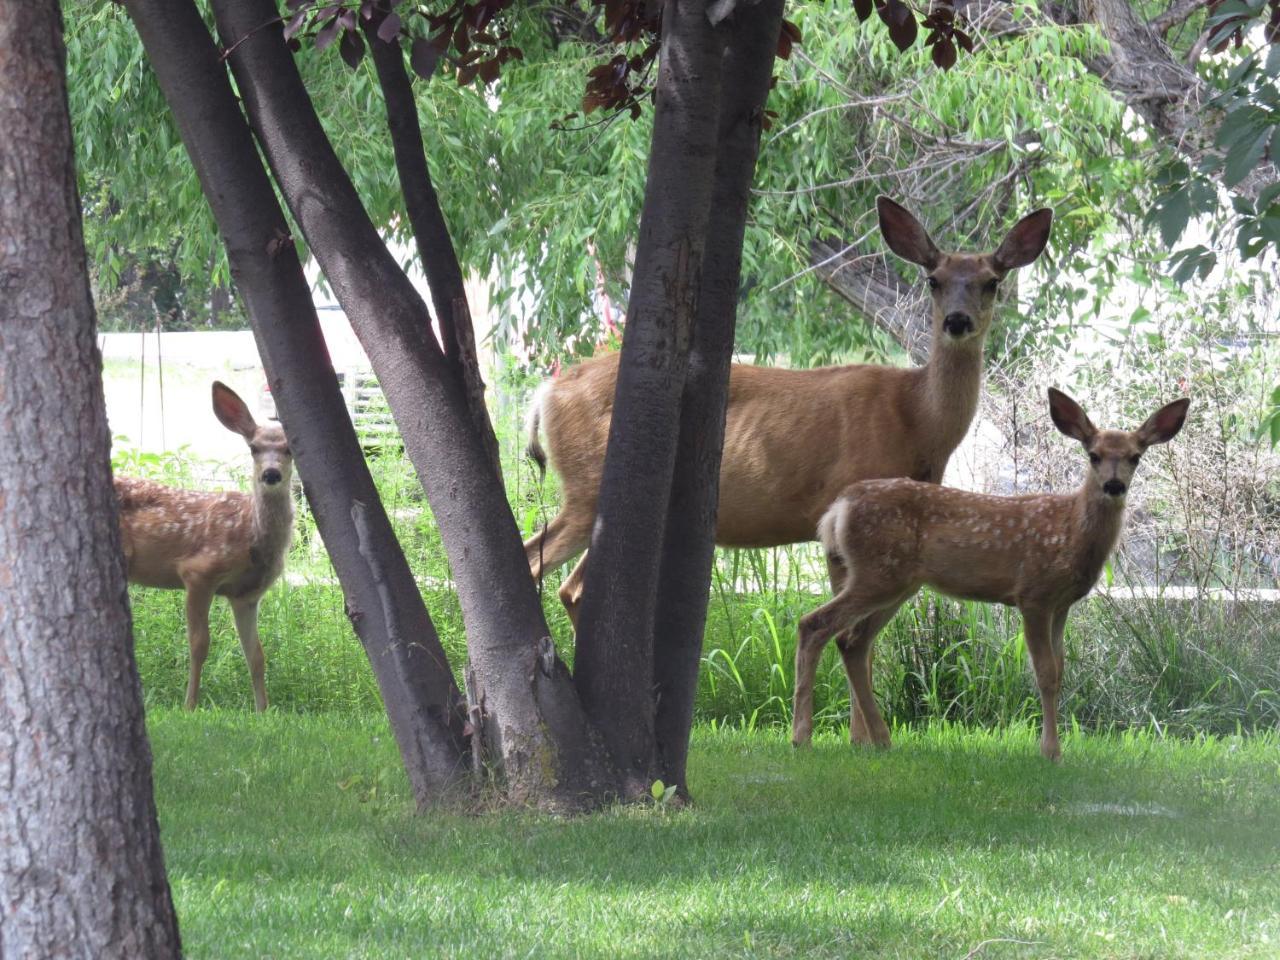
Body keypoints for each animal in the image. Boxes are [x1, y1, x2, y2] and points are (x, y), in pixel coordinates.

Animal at [114, 384, 294, 716]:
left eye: (290, 449)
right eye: (253, 448)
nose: (271, 474)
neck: (252, 535)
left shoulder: (246, 595)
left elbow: (256, 654)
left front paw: (263, 710)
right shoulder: (199, 572)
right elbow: (199, 644)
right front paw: (190, 705)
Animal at [524, 193, 1054, 737]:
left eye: (992, 281)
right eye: (934, 279)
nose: (957, 321)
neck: (917, 419)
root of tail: (547, 392)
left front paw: (858, 736)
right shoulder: (850, 506)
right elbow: (853, 637)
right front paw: (860, 738)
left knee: (571, 587)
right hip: (586, 489)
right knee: (537, 561)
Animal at [788, 389, 1187, 757]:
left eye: (1135, 457)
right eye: (1094, 456)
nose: (1114, 486)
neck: (1070, 530)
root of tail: (838, 509)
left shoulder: (1062, 605)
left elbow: (1060, 671)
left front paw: (1054, 747)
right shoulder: (1034, 593)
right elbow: (1045, 674)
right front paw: (1050, 751)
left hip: (895, 583)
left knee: (852, 642)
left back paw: (881, 740)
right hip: (878, 574)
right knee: (815, 624)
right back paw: (802, 737)